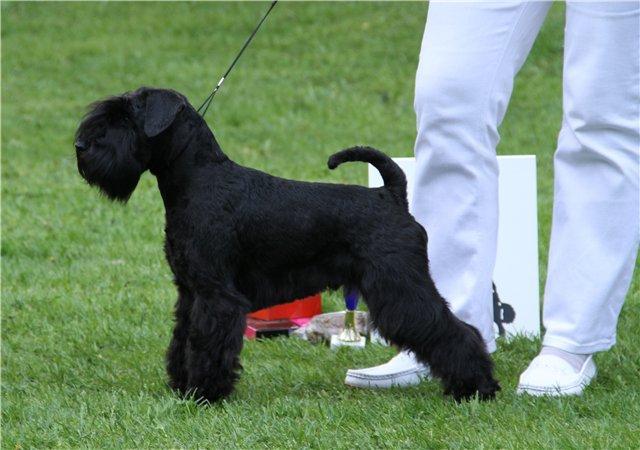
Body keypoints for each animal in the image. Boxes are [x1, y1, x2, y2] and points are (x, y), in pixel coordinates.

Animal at [74, 87, 500, 403]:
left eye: (124, 118)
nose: (80, 145)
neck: (197, 180)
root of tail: (391, 194)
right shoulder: (190, 292)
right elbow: (184, 339)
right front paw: (182, 386)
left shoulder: (217, 295)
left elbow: (208, 344)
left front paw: (205, 394)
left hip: (399, 286)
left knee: (454, 330)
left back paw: (476, 387)